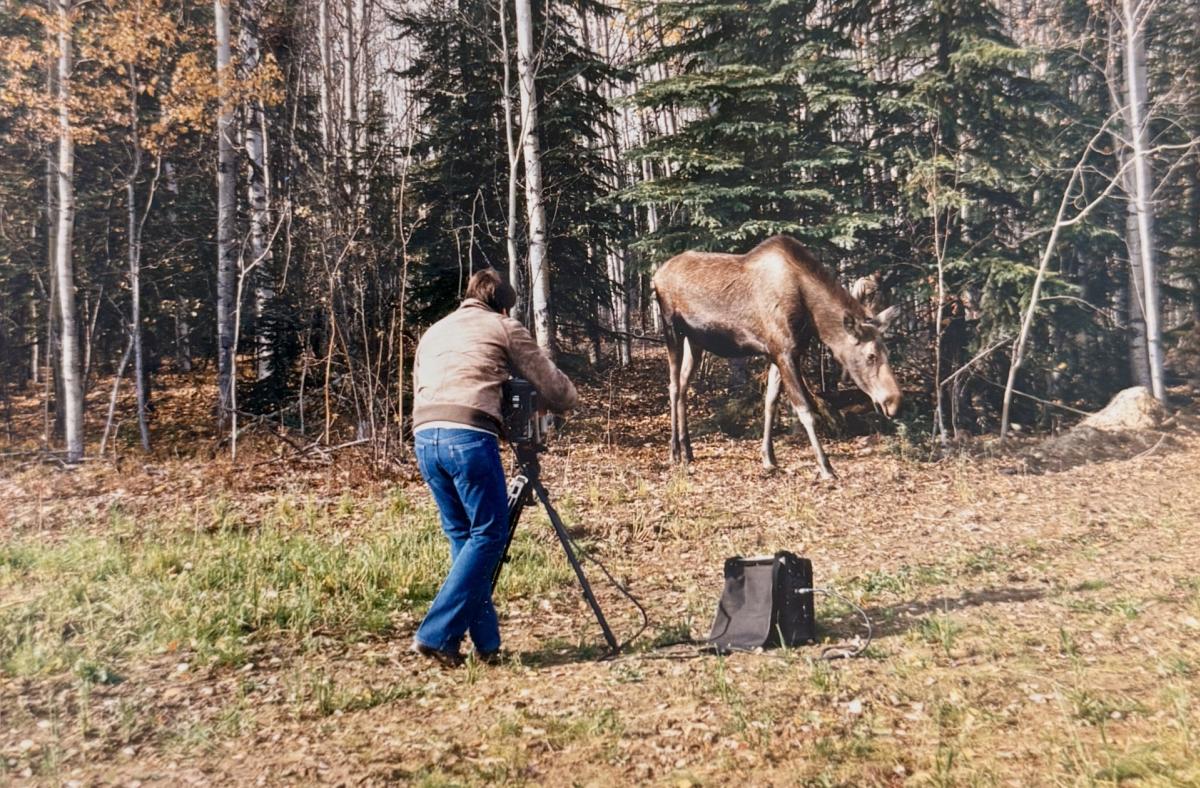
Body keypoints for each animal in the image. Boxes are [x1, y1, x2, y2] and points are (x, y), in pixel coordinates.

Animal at [652, 235, 901, 480]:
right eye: (871, 356)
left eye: (887, 352)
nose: (894, 402)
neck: (811, 318)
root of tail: (656, 275)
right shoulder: (784, 352)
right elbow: (805, 410)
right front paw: (825, 466)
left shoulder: (778, 352)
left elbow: (770, 402)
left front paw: (769, 458)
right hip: (671, 328)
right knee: (673, 385)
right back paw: (674, 451)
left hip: (695, 340)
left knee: (683, 384)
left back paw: (687, 449)